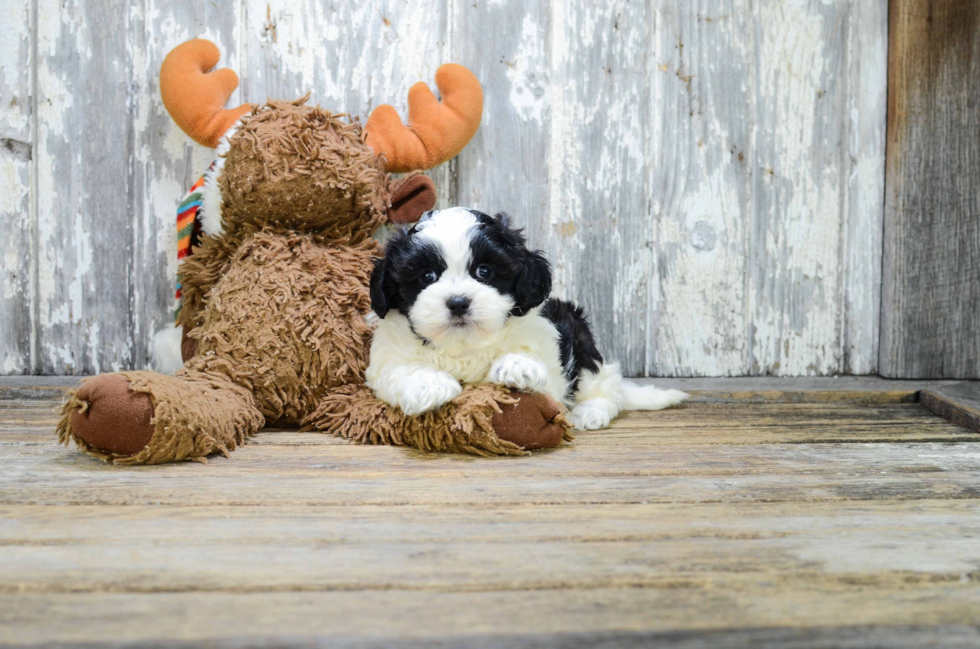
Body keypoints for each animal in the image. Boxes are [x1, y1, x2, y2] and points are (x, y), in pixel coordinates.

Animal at [366, 208, 688, 428]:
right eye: (427, 275)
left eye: (484, 271)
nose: (458, 303)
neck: (465, 345)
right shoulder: (386, 357)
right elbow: (399, 369)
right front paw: (429, 385)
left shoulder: (550, 350)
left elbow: (535, 363)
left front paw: (517, 364)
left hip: (579, 336)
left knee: (604, 386)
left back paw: (590, 412)